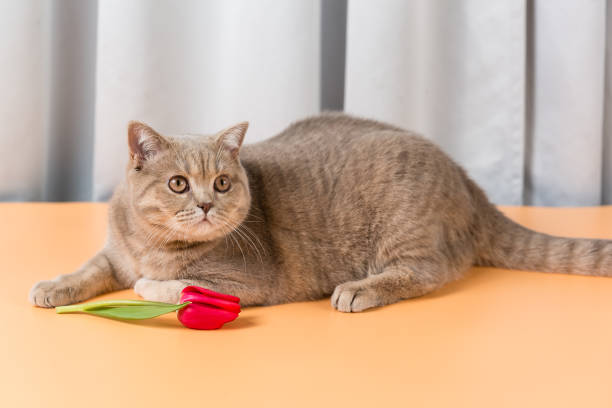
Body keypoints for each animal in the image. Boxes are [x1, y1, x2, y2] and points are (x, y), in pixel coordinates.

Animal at [27, 114, 612, 312]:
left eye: (222, 182)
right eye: (177, 184)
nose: (206, 203)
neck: (152, 245)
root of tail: (466, 179)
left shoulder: (247, 282)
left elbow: (169, 285)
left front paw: (149, 284)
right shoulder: (114, 253)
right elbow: (91, 268)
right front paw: (53, 286)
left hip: (403, 224)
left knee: (427, 271)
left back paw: (358, 289)